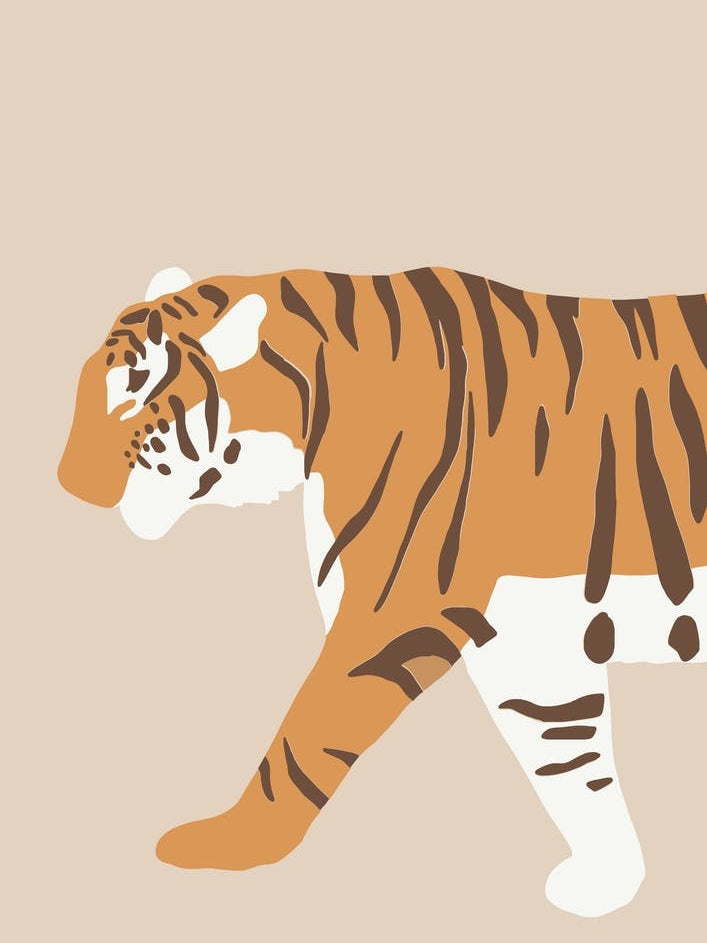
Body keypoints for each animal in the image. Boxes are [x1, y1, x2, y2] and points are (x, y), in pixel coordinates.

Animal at [58, 264, 706, 918]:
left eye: (134, 396)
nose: (66, 483)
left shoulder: (389, 614)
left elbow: (303, 735)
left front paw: (231, 844)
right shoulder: (531, 639)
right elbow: (568, 755)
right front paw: (606, 882)